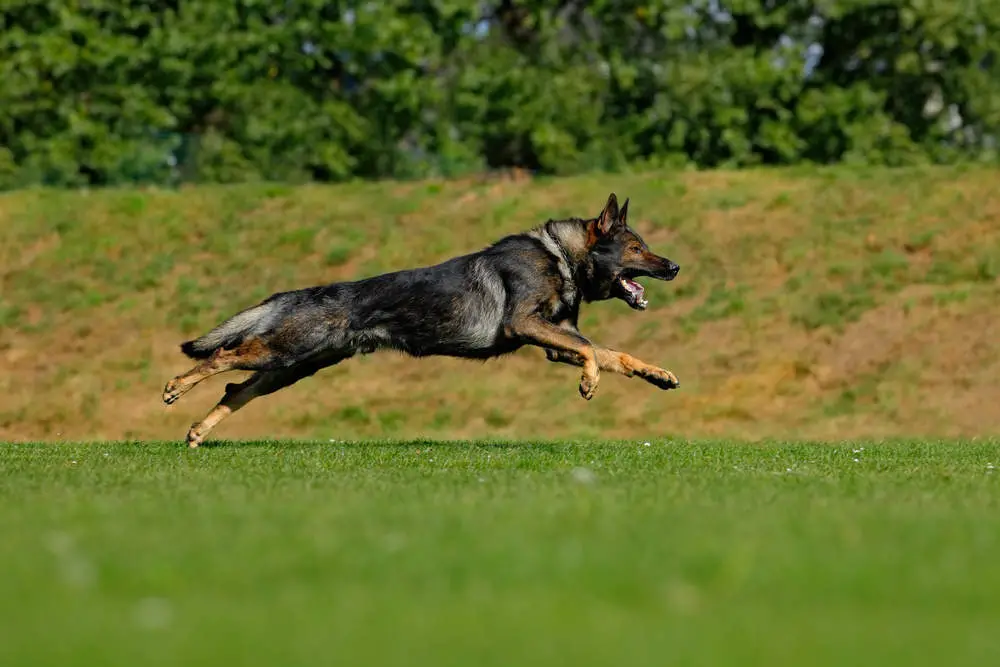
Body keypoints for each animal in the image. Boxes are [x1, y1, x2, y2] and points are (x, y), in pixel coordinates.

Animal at [164, 192, 680, 448]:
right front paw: (590, 383)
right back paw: (175, 387)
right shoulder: (528, 327)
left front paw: (658, 374)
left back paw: (197, 432)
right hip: (285, 352)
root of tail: (298, 294)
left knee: (236, 389)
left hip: (292, 366)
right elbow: (593, 350)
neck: (561, 257)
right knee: (223, 355)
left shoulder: (556, 342)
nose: (674, 267)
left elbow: (616, 354)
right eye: (637, 248)